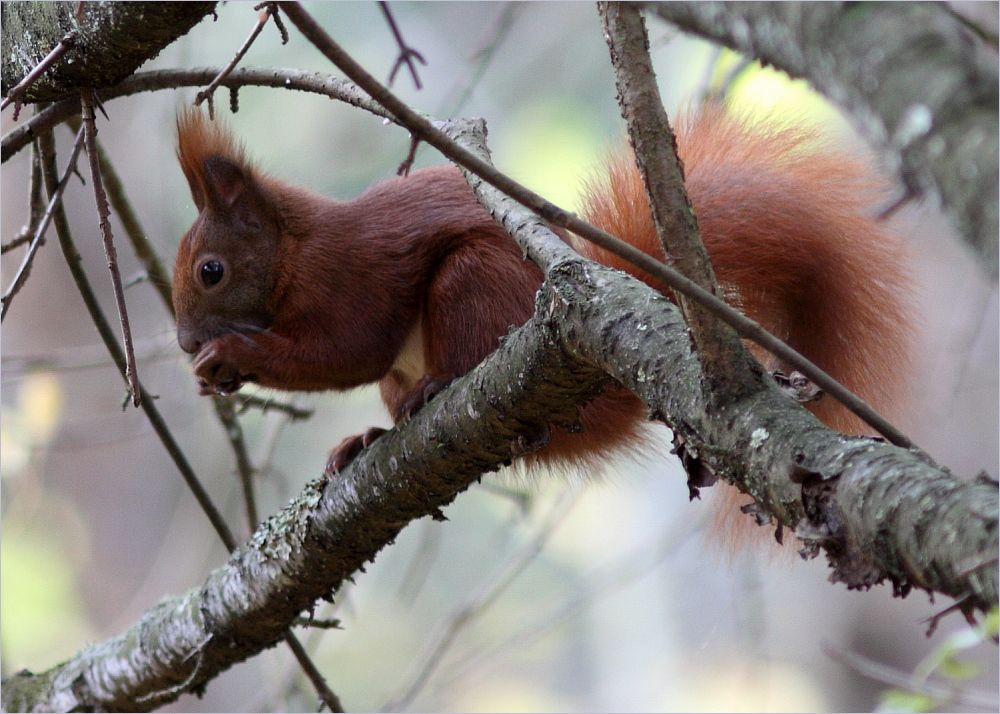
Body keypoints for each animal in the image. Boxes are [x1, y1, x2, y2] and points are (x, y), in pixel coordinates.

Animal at [174, 105, 916, 482]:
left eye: (211, 270)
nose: (183, 342)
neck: (292, 253)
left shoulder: (346, 276)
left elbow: (350, 349)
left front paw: (233, 354)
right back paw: (368, 439)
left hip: (473, 282)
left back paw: (436, 388)